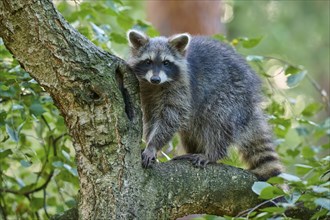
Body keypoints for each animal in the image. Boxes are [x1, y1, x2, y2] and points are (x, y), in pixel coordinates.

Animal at [126, 29, 284, 180]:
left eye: (166, 63)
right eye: (148, 61)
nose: (155, 79)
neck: (156, 86)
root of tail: (252, 99)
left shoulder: (182, 88)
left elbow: (172, 117)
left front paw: (153, 145)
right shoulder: (146, 92)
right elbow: (151, 118)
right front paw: (149, 141)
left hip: (232, 97)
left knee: (218, 125)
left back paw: (212, 154)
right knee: (192, 130)